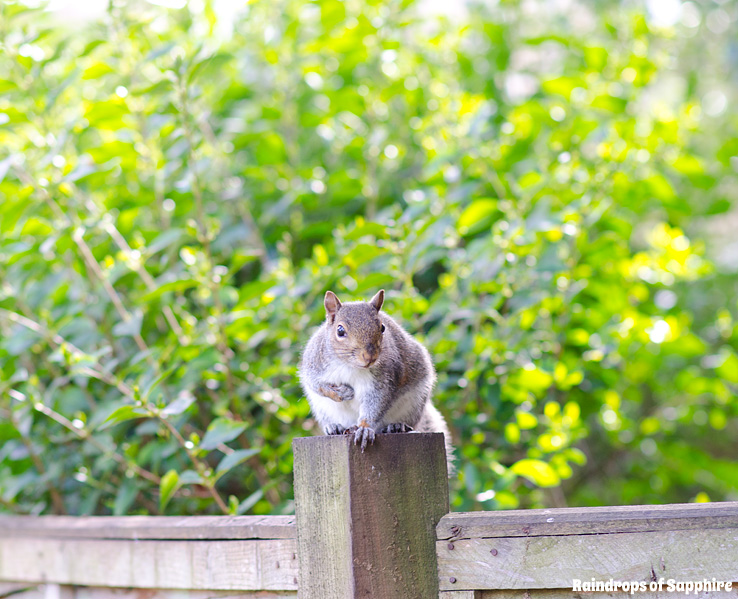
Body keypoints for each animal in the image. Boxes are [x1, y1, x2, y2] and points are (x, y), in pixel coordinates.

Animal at [296, 290, 452, 474]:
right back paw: (334, 427)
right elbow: (316, 385)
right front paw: (340, 393)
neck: (349, 365)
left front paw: (364, 428)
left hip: (414, 402)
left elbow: (376, 402)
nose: (369, 356)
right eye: (340, 331)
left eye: (382, 328)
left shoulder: (383, 379)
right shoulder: (313, 365)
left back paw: (396, 426)